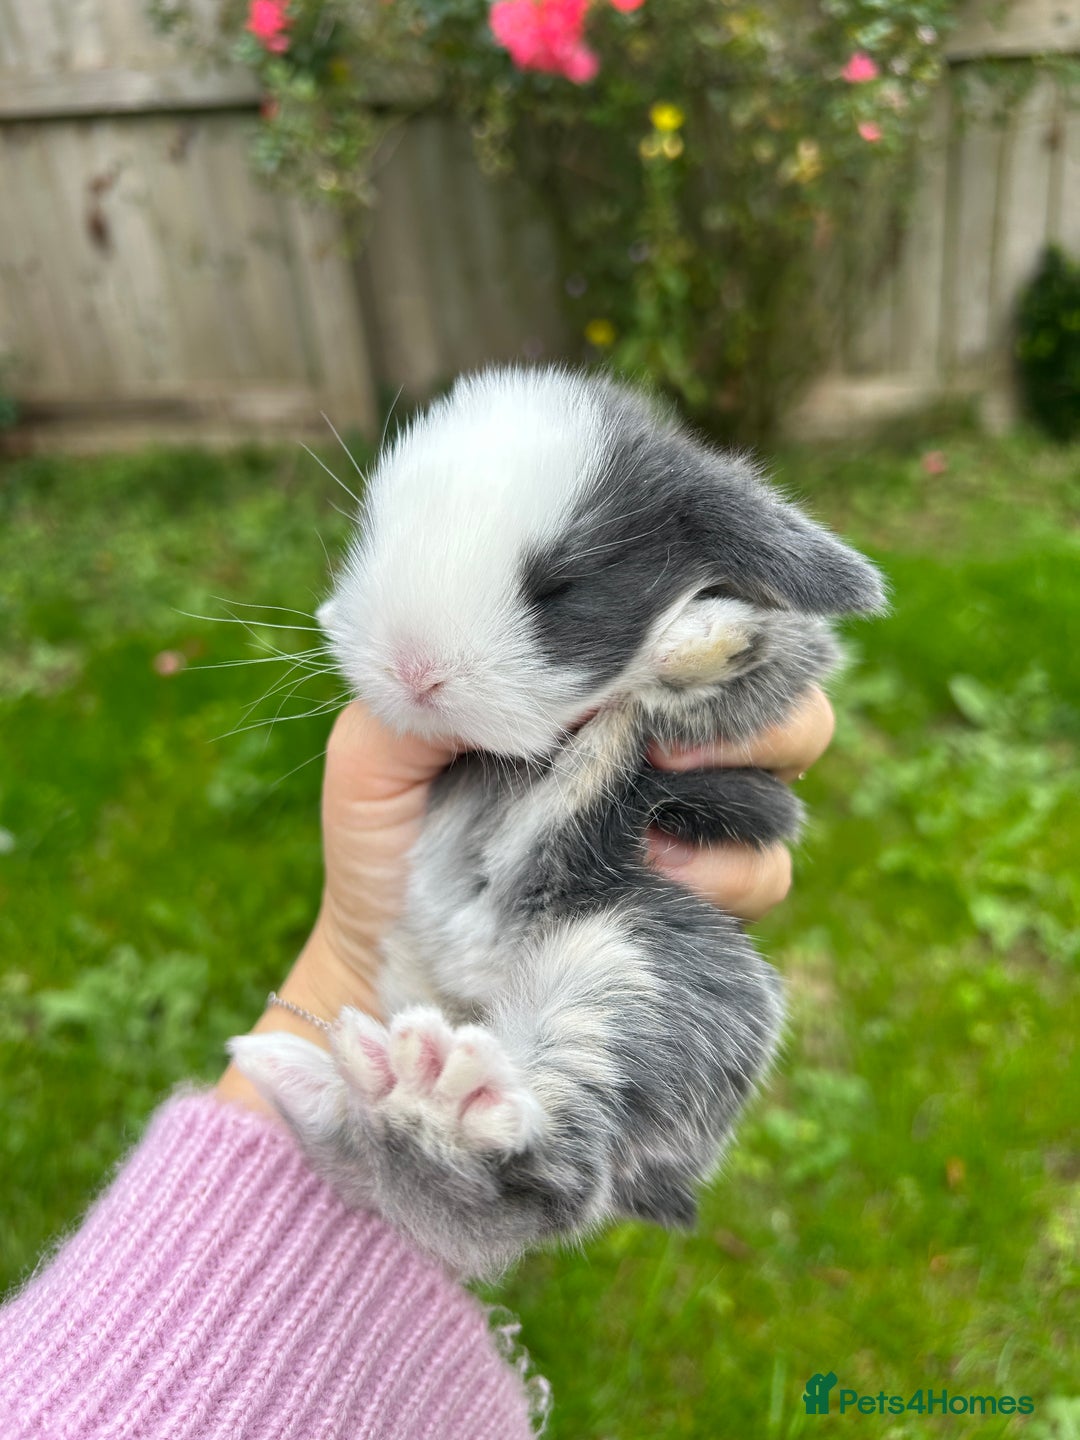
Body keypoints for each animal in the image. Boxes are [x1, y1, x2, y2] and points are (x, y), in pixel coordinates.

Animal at [229, 365, 885, 1279]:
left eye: (560, 587)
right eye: (370, 539)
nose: (413, 670)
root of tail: (472, 991)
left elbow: (726, 677)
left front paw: (704, 638)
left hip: (631, 968)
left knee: (548, 1177)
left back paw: (420, 1097)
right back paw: (360, 1082)